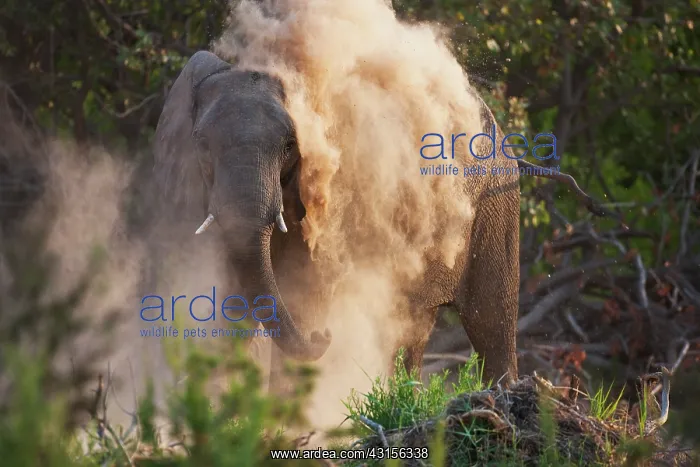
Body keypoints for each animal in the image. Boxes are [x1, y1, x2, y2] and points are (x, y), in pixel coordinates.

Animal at [147, 50, 606, 388]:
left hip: (497, 204)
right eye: (201, 145)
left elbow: (305, 292)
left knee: (490, 321)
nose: (324, 337)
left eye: (291, 146)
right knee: (411, 331)